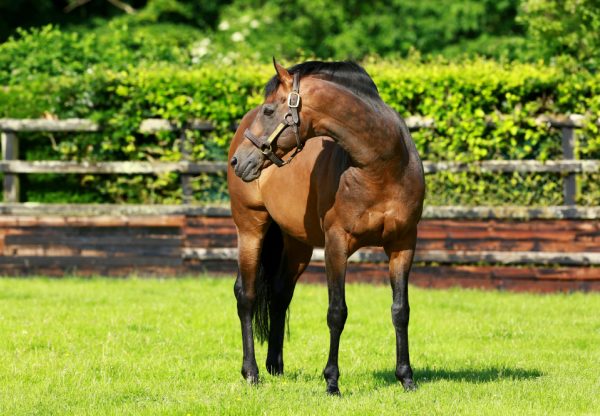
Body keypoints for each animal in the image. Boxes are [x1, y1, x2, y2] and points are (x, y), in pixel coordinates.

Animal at [226, 58, 426, 394]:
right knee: (247, 296)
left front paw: (406, 378)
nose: (239, 161)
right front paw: (332, 381)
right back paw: (251, 372)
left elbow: (401, 311)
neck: (382, 166)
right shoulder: (336, 245)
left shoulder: (403, 245)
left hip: (298, 244)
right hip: (251, 228)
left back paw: (275, 366)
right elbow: (337, 312)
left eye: (269, 110)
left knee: (280, 293)